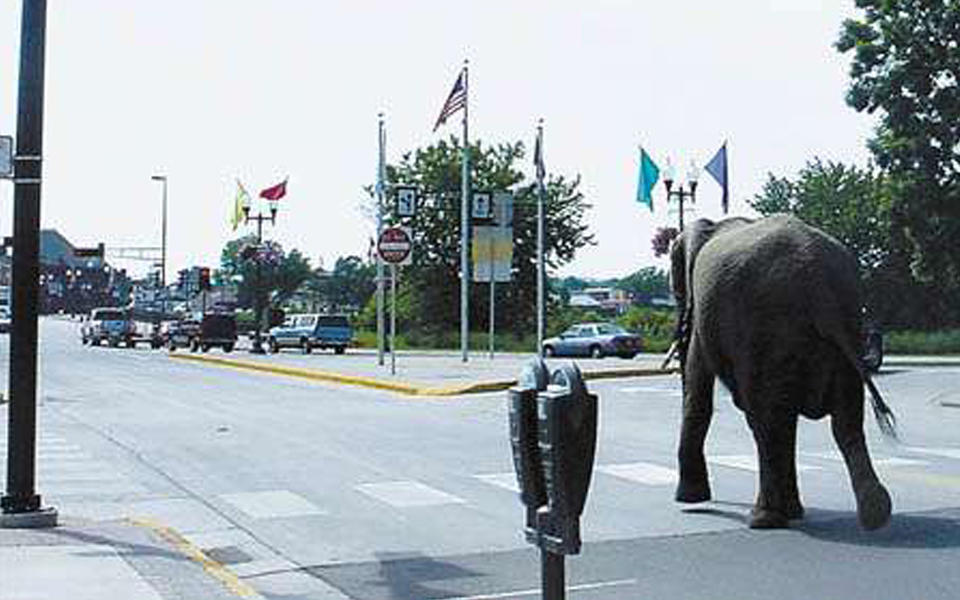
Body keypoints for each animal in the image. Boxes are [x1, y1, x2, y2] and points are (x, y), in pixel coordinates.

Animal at [672, 212, 896, 528]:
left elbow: (698, 387)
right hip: (846, 328)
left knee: (766, 424)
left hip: (766, 331)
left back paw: (762, 519)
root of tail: (817, 280)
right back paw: (875, 513)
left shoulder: (703, 320)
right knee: (845, 422)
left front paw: (690, 500)